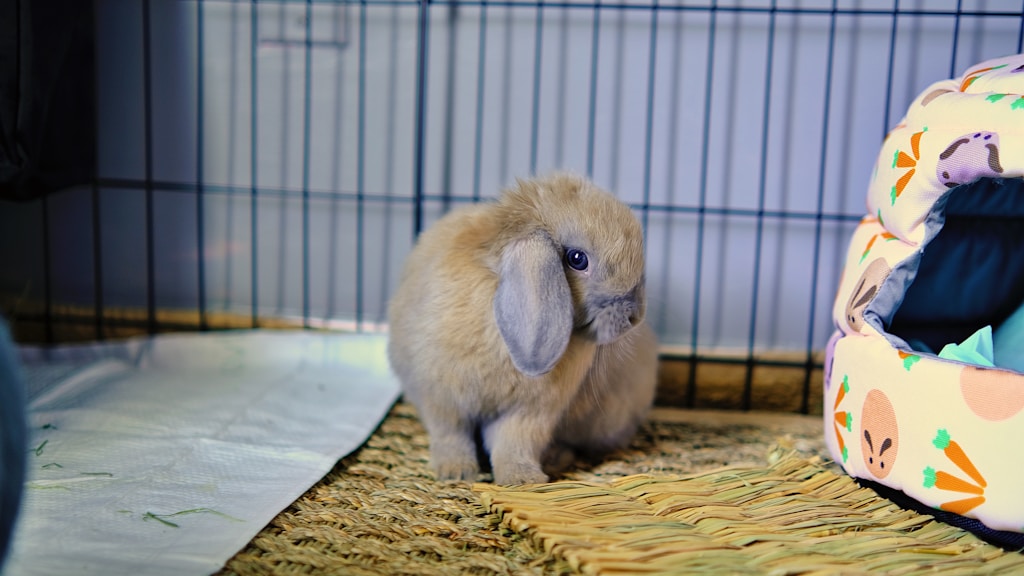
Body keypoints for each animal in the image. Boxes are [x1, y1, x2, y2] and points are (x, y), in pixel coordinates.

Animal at [387, 172, 658, 485]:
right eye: (577, 259)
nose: (634, 317)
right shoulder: (443, 399)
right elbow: (451, 436)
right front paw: (457, 472)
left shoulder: (531, 412)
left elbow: (513, 444)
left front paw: (524, 480)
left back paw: (554, 458)